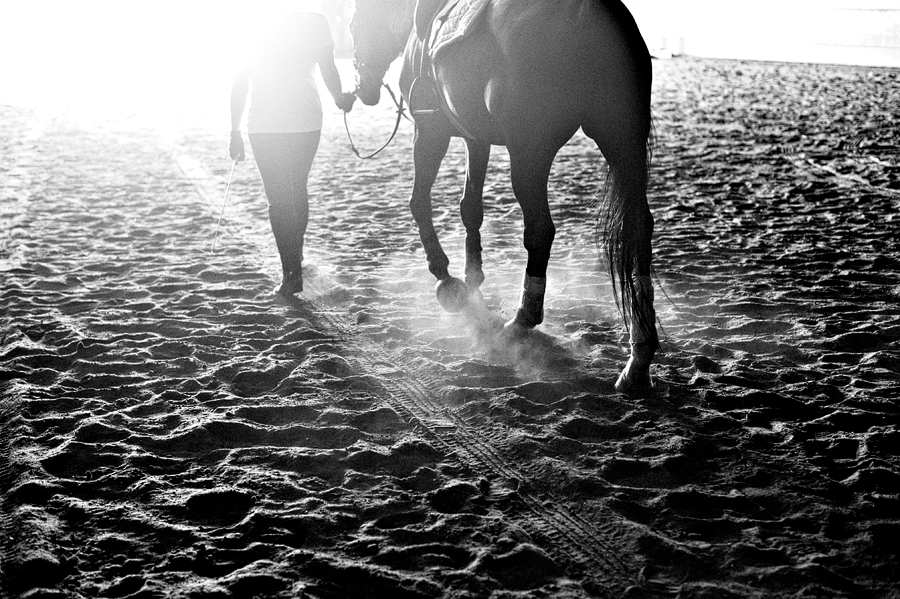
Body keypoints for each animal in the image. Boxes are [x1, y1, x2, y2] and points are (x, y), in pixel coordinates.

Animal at [352, 0, 660, 394]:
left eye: (353, 24)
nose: (363, 88)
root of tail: (588, 14)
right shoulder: (475, 138)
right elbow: (471, 208)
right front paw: (473, 280)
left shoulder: (430, 130)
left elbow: (419, 202)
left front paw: (446, 278)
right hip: (621, 144)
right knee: (638, 233)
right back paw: (639, 357)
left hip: (529, 154)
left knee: (540, 231)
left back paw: (522, 320)